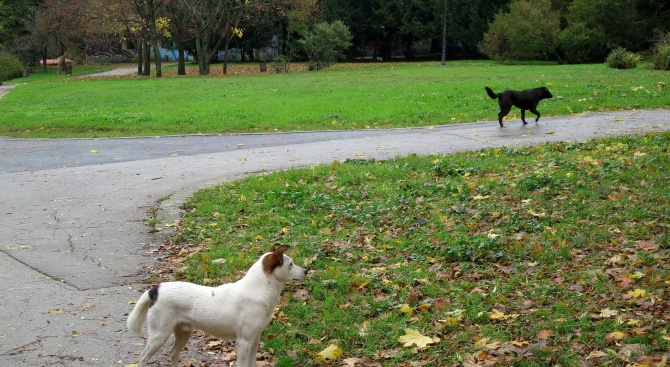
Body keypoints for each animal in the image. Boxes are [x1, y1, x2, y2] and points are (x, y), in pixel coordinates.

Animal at [127, 244, 308, 367]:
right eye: (290, 264)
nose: (306, 271)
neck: (258, 290)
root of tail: (155, 290)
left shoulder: (255, 340)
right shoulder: (244, 342)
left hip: (184, 332)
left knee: (172, 354)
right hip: (159, 335)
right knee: (143, 357)